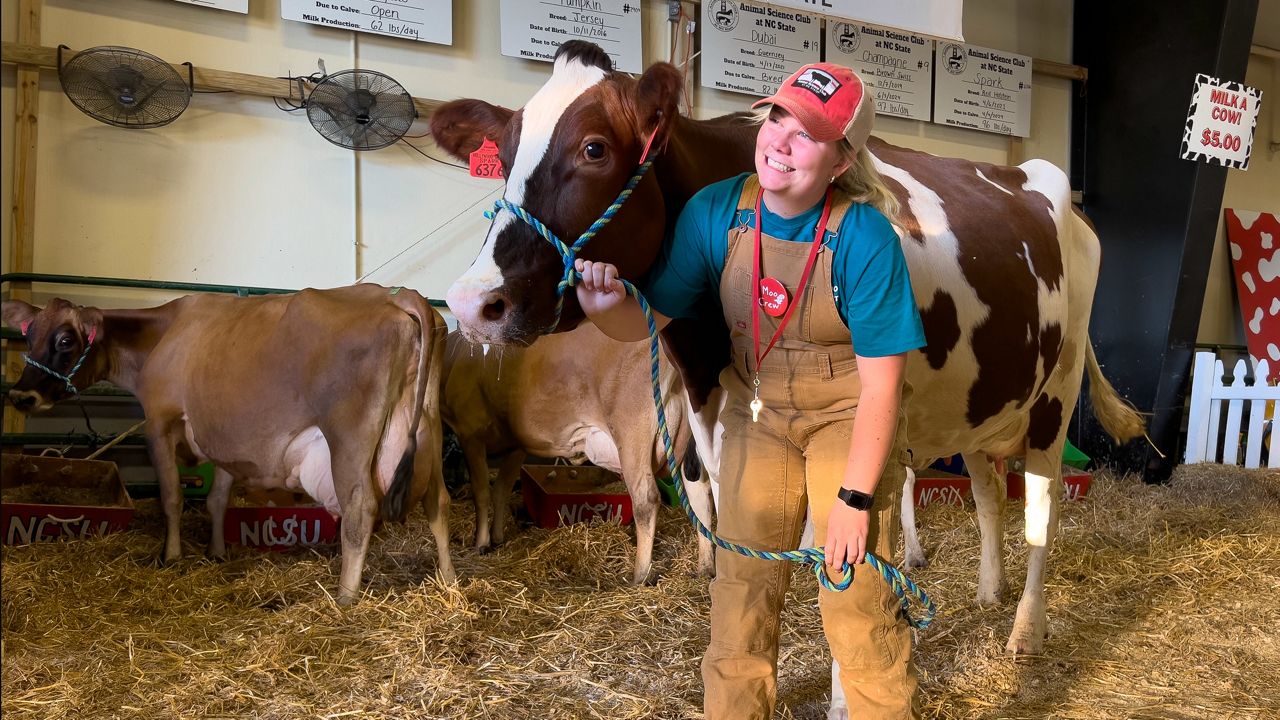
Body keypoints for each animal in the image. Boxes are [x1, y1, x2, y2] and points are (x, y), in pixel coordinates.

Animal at [3, 283, 455, 602]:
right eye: (28, 334)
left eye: (66, 341)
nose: (21, 396)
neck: (163, 334)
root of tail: (399, 296)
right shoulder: (220, 438)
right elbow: (217, 498)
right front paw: (217, 551)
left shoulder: (160, 421)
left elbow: (172, 497)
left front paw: (171, 556)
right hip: (428, 431)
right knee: (438, 502)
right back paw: (449, 581)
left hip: (349, 438)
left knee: (360, 508)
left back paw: (344, 598)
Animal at [445, 322, 716, 579]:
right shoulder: (517, 445)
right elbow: (501, 489)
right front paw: (497, 537)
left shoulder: (470, 433)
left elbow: (481, 492)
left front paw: (481, 542)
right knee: (700, 496)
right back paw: (705, 567)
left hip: (632, 433)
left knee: (646, 498)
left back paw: (640, 575)